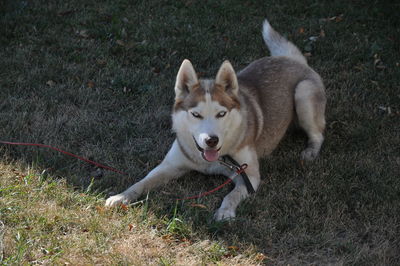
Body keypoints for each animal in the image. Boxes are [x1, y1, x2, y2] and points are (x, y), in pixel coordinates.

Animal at [105, 19, 324, 220]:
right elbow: (142, 181)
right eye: (196, 114)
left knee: (318, 134)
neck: (210, 161)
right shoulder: (169, 166)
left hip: (303, 93)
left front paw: (225, 211)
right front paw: (121, 196)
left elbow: (231, 195)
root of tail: (291, 59)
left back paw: (311, 151)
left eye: (221, 114)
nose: (211, 140)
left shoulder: (249, 175)